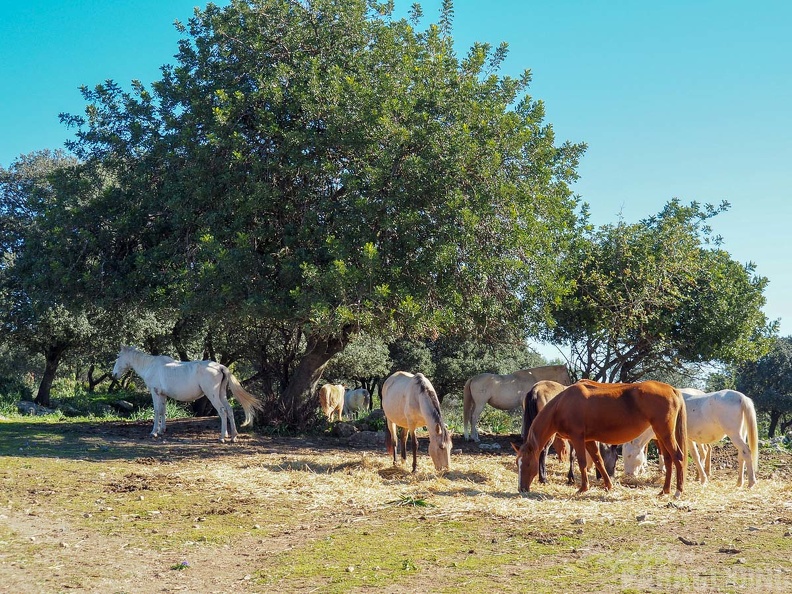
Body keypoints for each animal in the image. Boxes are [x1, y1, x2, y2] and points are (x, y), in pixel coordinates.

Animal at [111, 344, 262, 442]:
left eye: (118, 356)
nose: (114, 374)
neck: (151, 366)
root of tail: (220, 367)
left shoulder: (155, 393)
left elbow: (157, 411)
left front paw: (154, 432)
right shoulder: (163, 395)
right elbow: (163, 411)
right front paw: (162, 430)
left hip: (213, 396)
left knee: (222, 411)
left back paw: (221, 438)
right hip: (221, 394)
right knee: (229, 411)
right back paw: (232, 436)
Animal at [512, 380, 688, 494]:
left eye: (527, 464)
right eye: (517, 463)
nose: (521, 489)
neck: (562, 404)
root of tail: (672, 389)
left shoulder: (577, 438)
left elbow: (582, 462)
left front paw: (583, 488)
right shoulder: (589, 440)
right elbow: (598, 461)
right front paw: (608, 485)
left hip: (664, 433)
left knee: (678, 457)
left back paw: (678, 491)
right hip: (660, 434)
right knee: (668, 459)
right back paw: (665, 491)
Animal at [624, 388, 760, 486]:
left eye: (629, 455)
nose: (627, 474)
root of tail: (741, 397)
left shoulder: (685, 439)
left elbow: (694, 456)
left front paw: (702, 479)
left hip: (734, 434)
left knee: (746, 452)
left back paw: (751, 482)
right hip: (741, 434)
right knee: (741, 455)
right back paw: (739, 482)